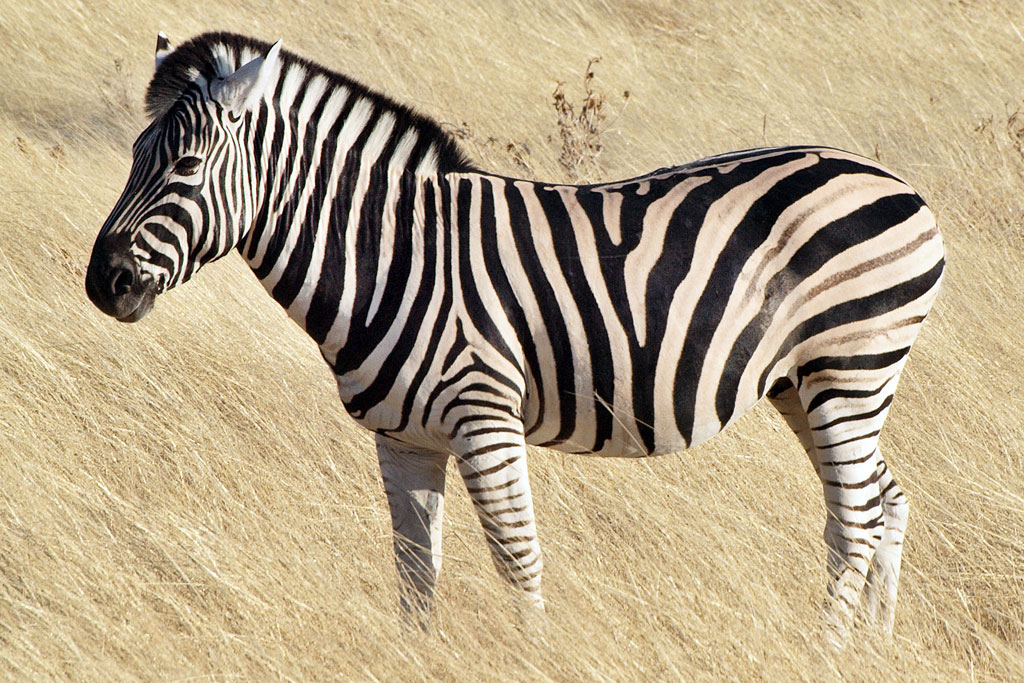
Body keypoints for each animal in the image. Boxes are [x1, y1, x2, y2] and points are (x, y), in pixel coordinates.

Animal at [85, 32, 944, 641]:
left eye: (185, 165)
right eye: (132, 155)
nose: (103, 282)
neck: (394, 252)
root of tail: (895, 182)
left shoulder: (484, 415)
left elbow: (516, 556)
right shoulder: (403, 438)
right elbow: (414, 569)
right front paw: (416, 655)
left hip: (850, 365)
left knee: (854, 516)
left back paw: (826, 651)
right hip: (809, 382)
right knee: (884, 500)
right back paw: (875, 649)